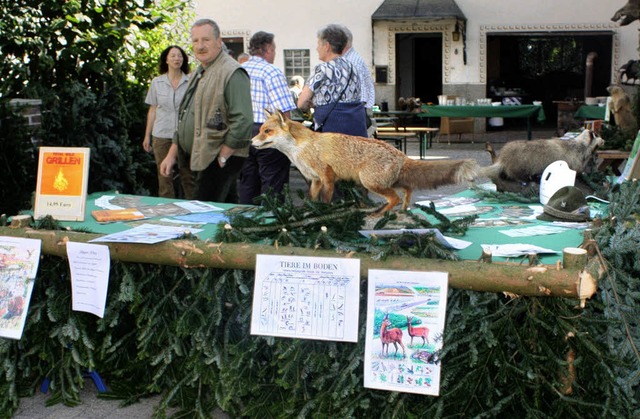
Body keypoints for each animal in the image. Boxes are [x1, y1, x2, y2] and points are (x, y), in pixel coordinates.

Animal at [252, 110, 478, 215]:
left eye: (267, 131)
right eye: (261, 130)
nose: (251, 142)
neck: (302, 148)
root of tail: (400, 154)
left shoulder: (327, 176)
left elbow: (326, 200)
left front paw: (324, 212)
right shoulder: (314, 179)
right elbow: (312, 199)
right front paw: (308, 211)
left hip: (369, 181)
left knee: (394, 198)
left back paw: (379, 214)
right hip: (387, 181)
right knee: (407, 190)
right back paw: (403, 210)